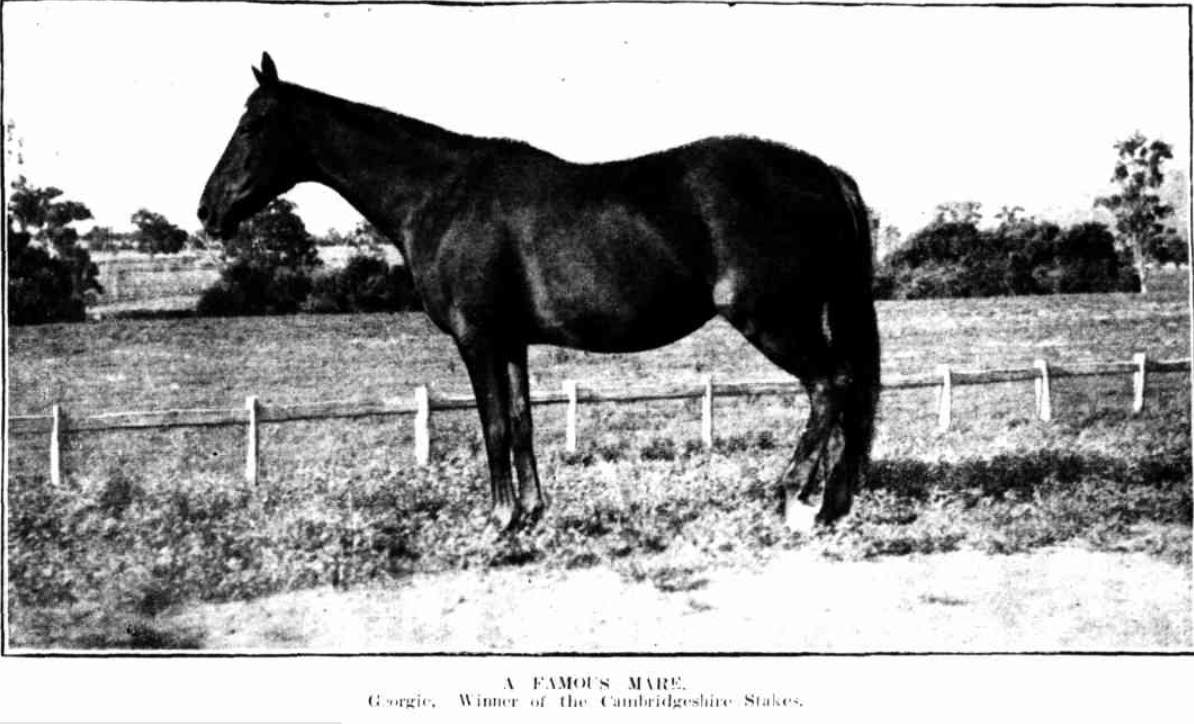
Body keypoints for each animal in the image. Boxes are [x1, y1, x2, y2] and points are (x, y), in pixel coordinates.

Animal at [200, 53, 883, 532]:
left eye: (253, 123)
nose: (208, 211)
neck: (441, 194)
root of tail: (824, 173)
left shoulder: (477, 339)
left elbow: (494, 426)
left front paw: (499, 520)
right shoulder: (511, 341)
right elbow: (522, 421)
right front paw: (530, 513)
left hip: (773, 318)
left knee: (831, 385)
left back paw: (792, 497)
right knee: (843, 394)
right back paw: (830, 505)